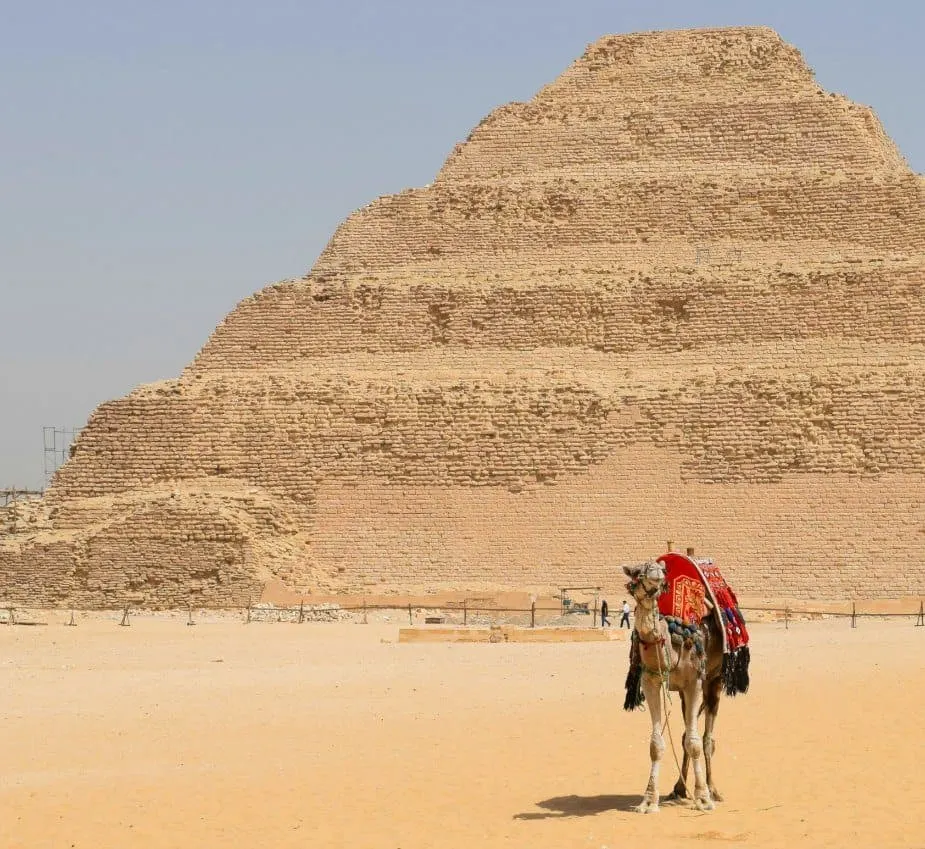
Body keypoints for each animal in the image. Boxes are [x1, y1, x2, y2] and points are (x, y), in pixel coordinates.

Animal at [620, 560, 728, 812]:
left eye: (662, 571)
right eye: (637, 573)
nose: (656, 573)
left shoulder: (694, 682)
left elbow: (695, 742)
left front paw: (703, 798)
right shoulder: (650, 681)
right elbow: (656, 744)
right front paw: (649, 800)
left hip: (714, 680)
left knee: (707, 738)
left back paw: (713, 789)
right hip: (681, 693)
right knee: (685, 733)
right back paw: (679, 788)